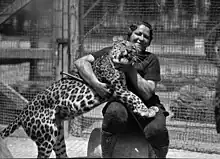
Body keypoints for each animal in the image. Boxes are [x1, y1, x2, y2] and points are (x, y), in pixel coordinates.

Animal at [0, 37, 158, 158]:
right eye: (124, 44)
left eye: (134, 47)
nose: (130, 51)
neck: (116, 64)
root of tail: (22, 113)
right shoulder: (118, 89)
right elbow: (135, 96)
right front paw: (148, 110)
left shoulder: (121, 89)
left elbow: (134, 97)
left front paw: (145, 110)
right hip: (46, 138)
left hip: (57, 135)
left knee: (61, 153)